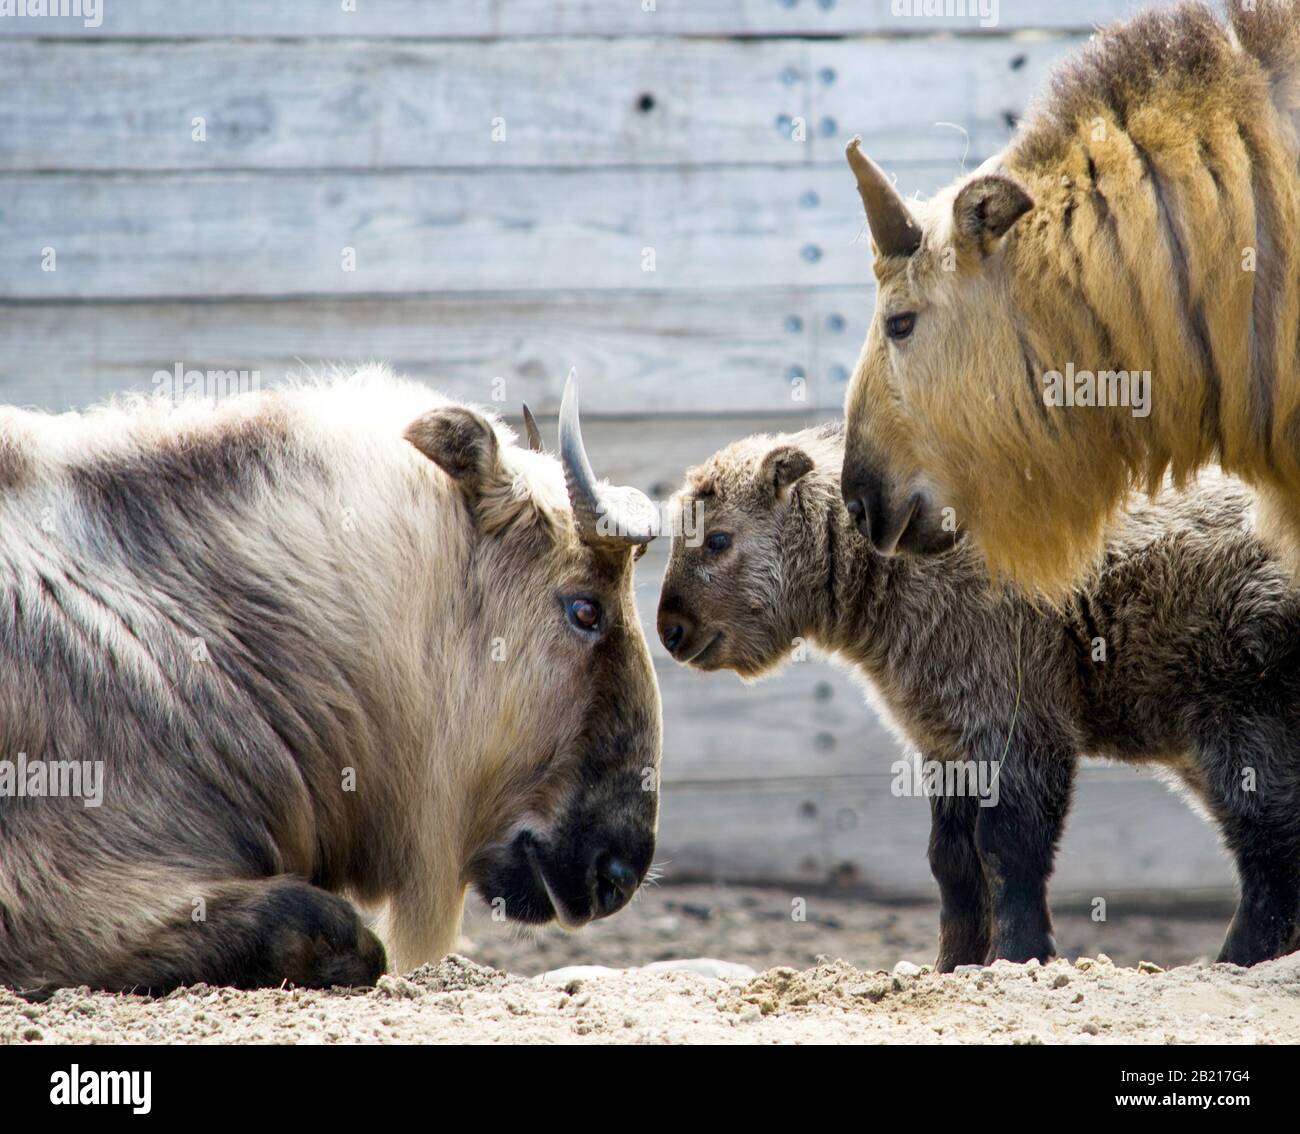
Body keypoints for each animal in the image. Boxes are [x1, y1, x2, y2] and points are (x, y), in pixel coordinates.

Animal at [660, 423, 1300, 967]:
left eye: (717, 539)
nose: (671, 631)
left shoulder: (1015, 720)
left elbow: (1005, 848)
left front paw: (1019, 956)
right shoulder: (945, 740)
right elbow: (951, 860)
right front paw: (955, 963)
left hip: (1241, 725)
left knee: (1270, 855)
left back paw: (1234, 961)